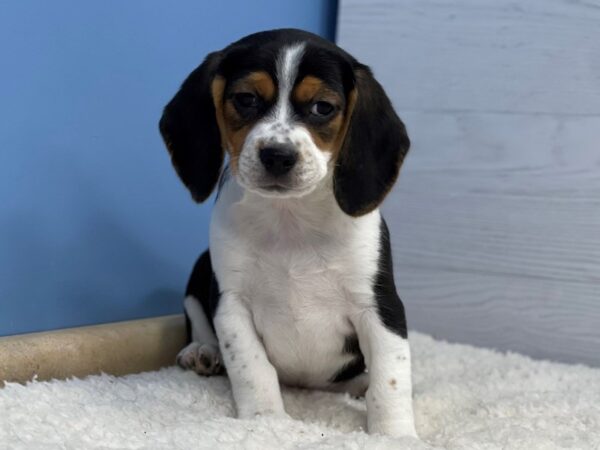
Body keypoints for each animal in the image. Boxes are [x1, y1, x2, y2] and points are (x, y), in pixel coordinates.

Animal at [162, 29, 420, 440]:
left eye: (322, 107)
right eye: (246, 99)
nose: (277, 155)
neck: (290, 219)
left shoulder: (379, 306)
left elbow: (389, 379)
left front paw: (394, 436)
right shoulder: (232, 302)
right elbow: (252, 368)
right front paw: (265, 420)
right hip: (200, 269)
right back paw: (203, 352)